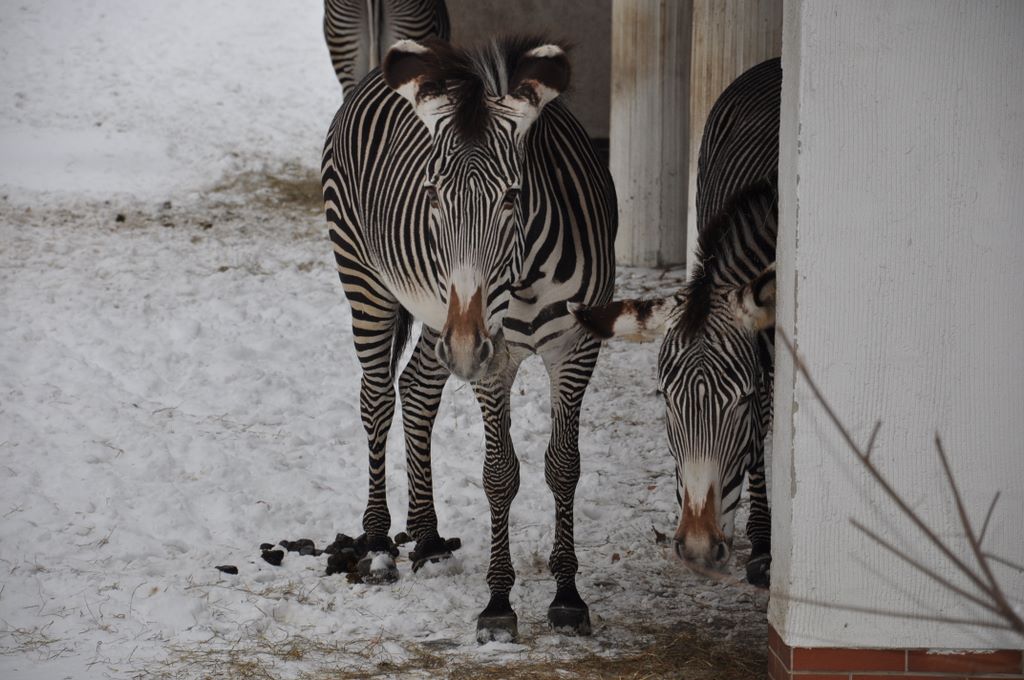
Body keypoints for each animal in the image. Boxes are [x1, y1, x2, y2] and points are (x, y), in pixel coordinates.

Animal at [321, 36, 617, 641]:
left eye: (513, 197)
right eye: (433, 196)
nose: (464, 348)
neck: (525, 275)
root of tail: (373, 72)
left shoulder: (576, 347)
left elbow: (564, 466)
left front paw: (567, 596)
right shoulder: (492, 359)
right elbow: (499, 475)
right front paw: (499, 604)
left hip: (440, 318)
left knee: (415, 389)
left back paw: (430, 540)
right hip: (368, 282)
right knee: (376, 398)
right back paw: (379, 544)